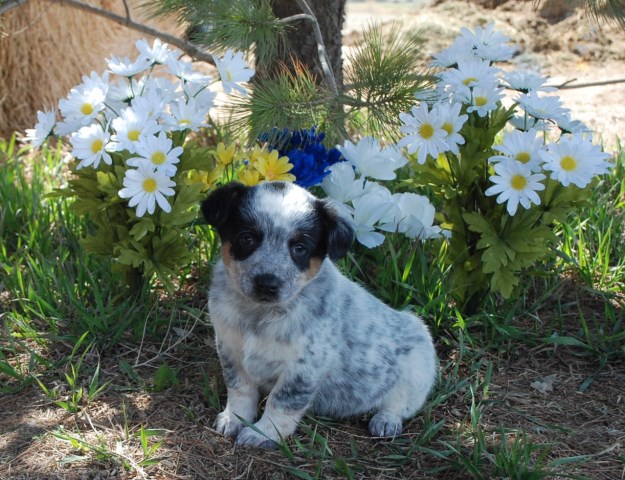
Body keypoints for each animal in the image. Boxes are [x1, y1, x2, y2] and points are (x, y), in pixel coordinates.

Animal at [202, 181, 436, 450]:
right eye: (246, 238)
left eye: (299, 248)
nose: (267, 283)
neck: (258, 317)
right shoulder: (230, 348)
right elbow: (240, 389)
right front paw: (234, 418)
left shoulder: (305, 367)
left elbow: (281, 402)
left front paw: (263, 434)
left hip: (418, 367)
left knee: (399, 403)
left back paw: (386, 421)